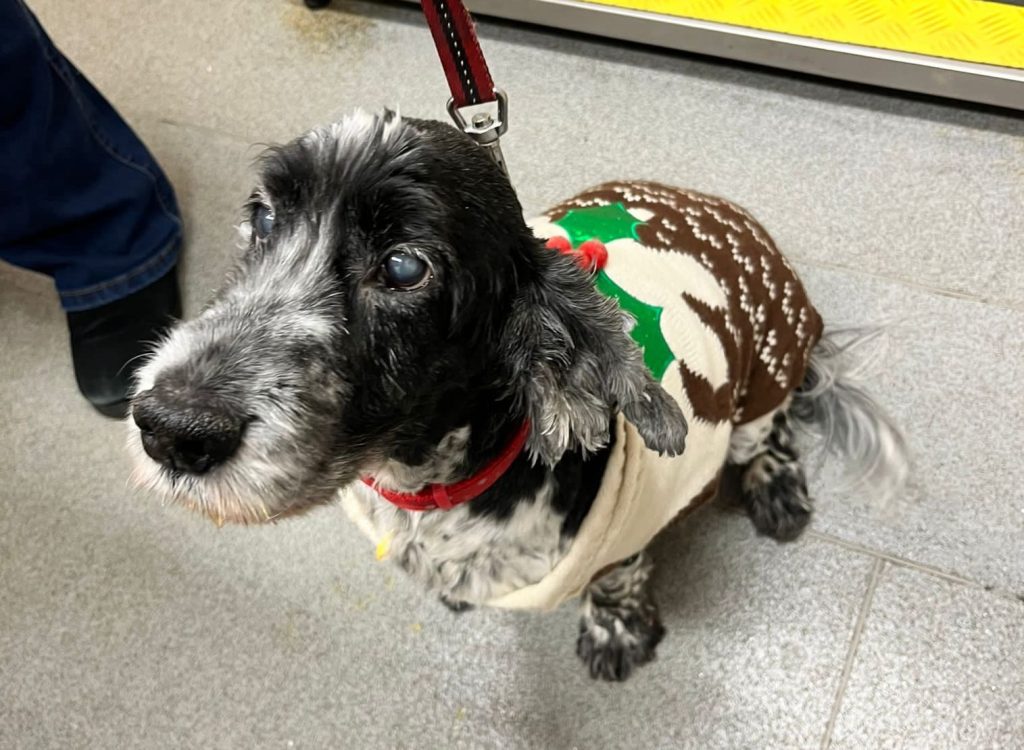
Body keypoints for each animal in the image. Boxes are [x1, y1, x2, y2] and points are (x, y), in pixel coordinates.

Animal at [128, 109, 905, 680]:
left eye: (404, 267)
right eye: (262, 217)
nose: (168, 426)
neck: (432, 485)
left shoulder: (629, 528)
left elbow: (618, 579)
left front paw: (615, 634)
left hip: (758, 391)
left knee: (776, 428)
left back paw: (776, 490)